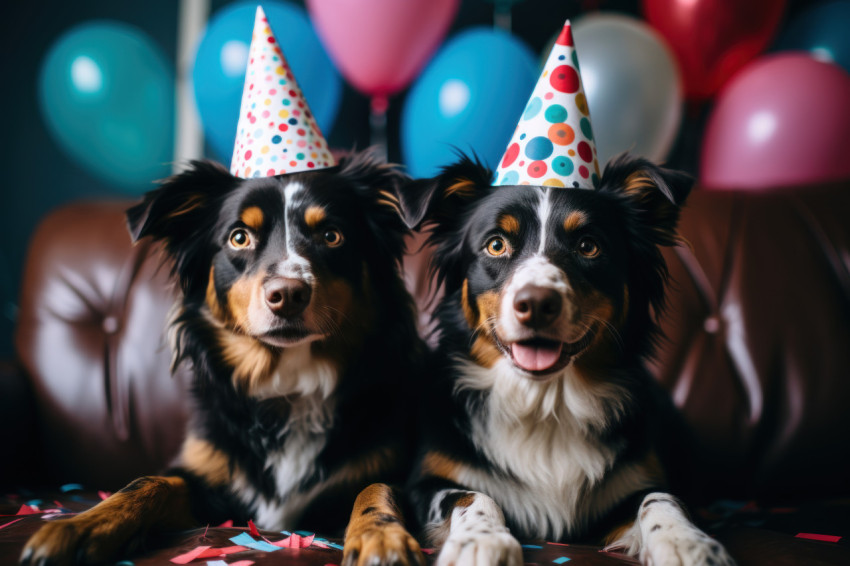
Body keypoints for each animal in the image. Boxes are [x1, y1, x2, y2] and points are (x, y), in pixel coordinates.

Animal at [398, 20, 736, 566]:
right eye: (496, 244)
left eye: (588, 246)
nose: (537, 304)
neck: (545, 403)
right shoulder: (427, 481)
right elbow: (474, 495)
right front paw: (481, 541)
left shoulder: (636, 482)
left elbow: (662, 499)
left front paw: (688, 542)